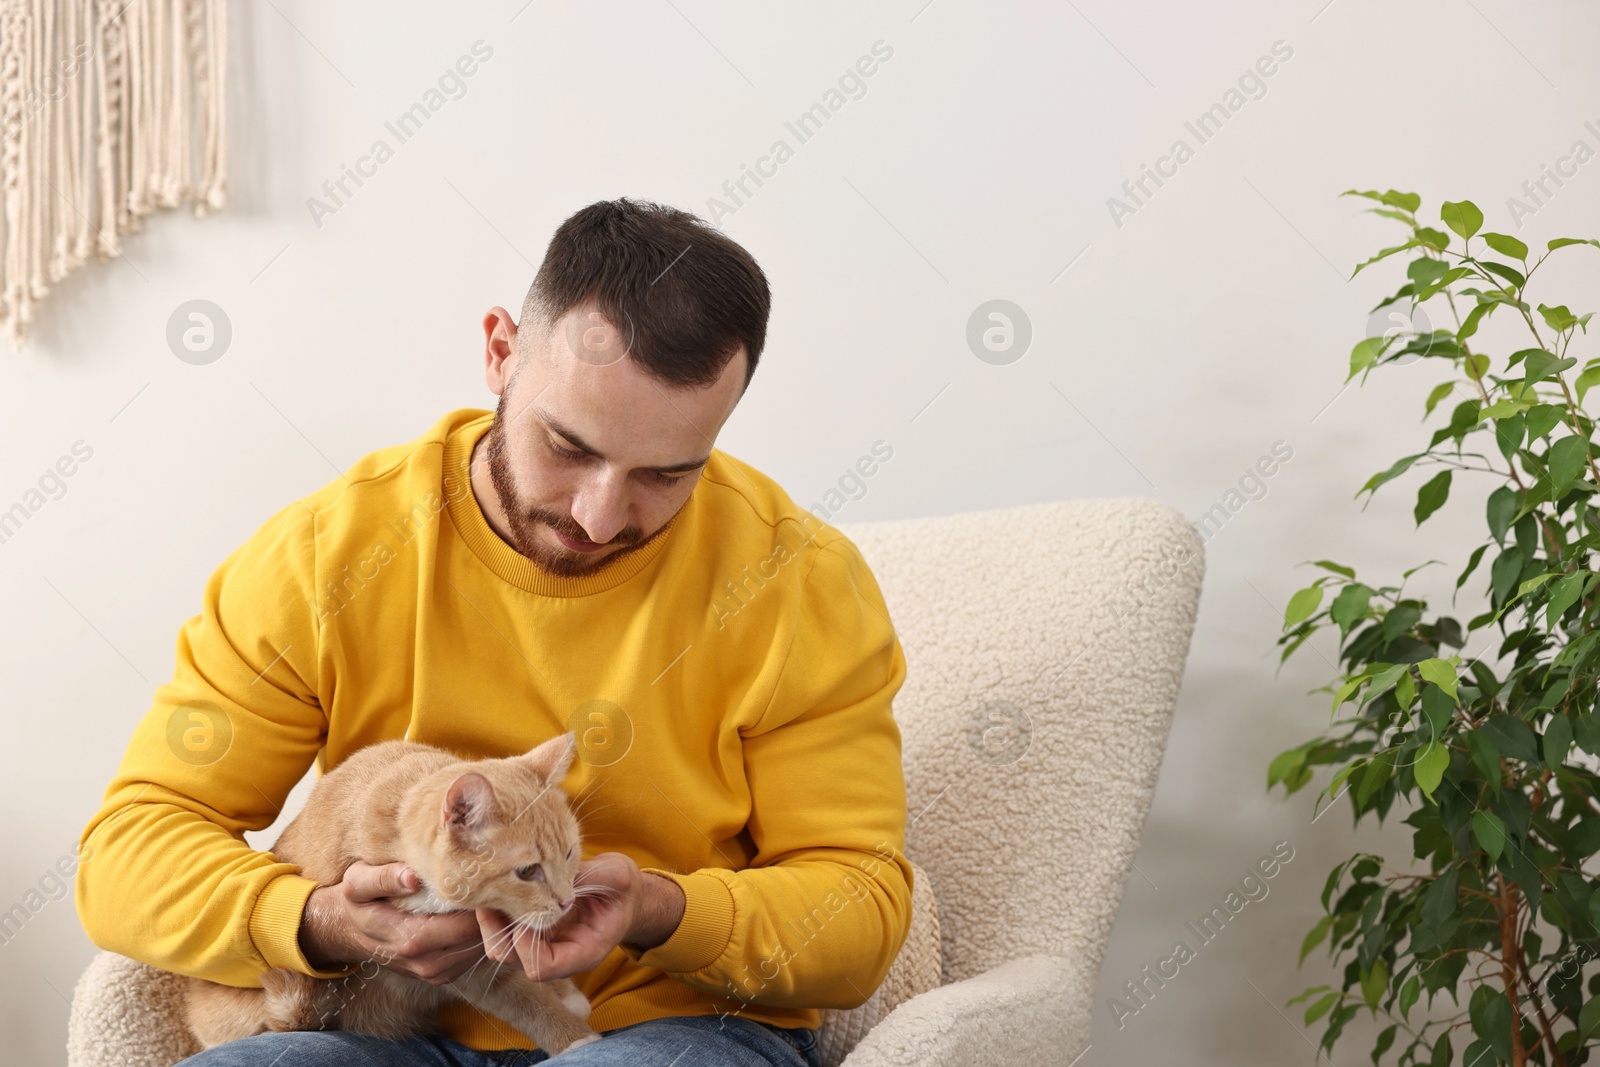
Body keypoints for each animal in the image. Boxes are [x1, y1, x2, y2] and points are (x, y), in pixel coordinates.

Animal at [183, 729, 604, 1055]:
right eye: (526, 871)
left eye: (570, 852)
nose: (567, 901)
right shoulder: (463, 967)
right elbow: (523, 997)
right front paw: (573, 1037)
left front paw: (566, 993)